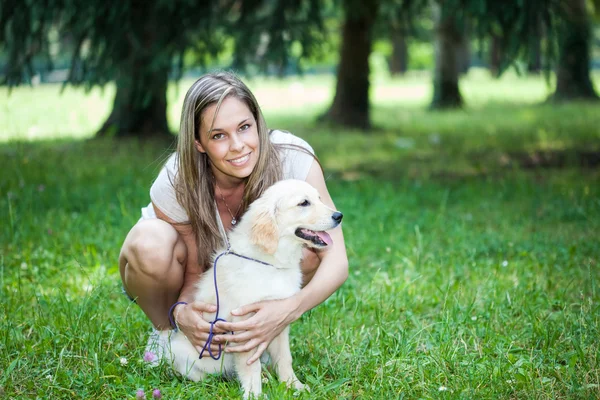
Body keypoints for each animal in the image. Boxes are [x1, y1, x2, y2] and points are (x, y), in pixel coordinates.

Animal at [162, 180, 344, 398]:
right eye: (304, 203)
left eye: (318, 198)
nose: (339, 216)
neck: (271, 262)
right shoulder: (243, 323)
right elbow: (250, 365)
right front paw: (254, 394)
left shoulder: (278, 319)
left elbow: (285, 357)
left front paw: (293, 386)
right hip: (178, 353)